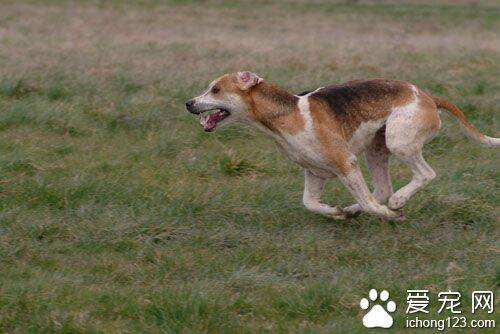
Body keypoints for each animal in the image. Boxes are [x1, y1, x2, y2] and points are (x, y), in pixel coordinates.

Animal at [186, 71, 498, 219]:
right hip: (376, 149)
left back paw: (397, 202)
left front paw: (389, 215)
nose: (188, 103)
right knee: (381, 189)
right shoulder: (315, 172)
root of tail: (428, 97)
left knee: (422, 176)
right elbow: (310, 203)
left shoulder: (345, 163)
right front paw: (337, 213)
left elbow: (371, 204)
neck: (288, 115)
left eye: (215, 89)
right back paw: (351, 210)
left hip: (399, 142)